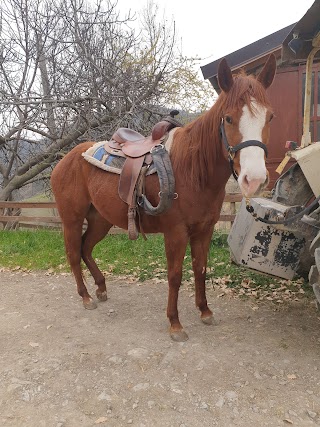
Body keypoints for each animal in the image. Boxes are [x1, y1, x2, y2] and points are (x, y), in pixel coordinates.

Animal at [51, 54, 276, 342]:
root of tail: (66, 159)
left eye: (270, 117)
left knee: (85, 248)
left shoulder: (204, 230)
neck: (191, 170)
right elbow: (175, 275)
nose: (254, 179)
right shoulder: (176, 232)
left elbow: (200, 269)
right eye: (228, 118)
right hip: (72, 218)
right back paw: (86, 296)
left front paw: (205, 311)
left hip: (101, 219)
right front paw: (175, 324)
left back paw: (100, 288)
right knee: (72, 253)